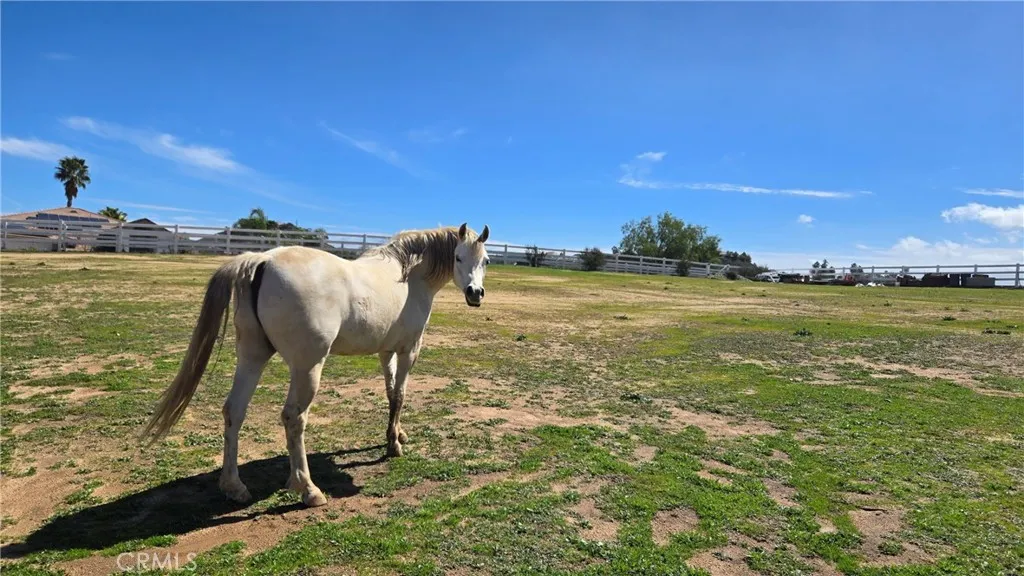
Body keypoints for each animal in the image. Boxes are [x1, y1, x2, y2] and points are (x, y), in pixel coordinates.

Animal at [140, 222, 491, 507]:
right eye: (458, 257)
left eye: (485, 260)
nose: (475, 293)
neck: (407, 275)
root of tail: (261, 260)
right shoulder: (409, 350)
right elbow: (401, 395)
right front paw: (394, 446)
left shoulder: (386, 352)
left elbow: (391, 393)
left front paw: (397, 435)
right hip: (308, 367)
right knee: (293, 418)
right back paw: (308, 490)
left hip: (252, 358)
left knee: (233, 412)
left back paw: (234, 487)